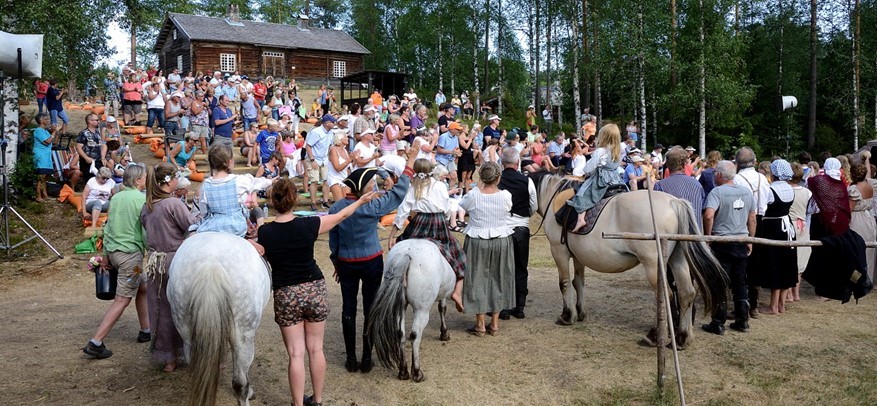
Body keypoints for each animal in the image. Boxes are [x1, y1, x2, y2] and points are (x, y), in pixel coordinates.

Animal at [366, 239, 456, 382]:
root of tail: (406, 254)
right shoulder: (443, 297)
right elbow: (442, 309)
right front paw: (444, 334)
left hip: (401, 307)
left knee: (400, 333)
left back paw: (403, 371)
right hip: (422, 310)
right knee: (416, 335)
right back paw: (417, 372)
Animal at [532, 173, 728, 348]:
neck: (553, 197)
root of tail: (674, 202)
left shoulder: (559, 251)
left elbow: (564, 283)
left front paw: (567, 316)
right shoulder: (578, 256)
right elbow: (578, 282)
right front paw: (580, 313)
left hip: (653, 265)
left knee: (666, 295)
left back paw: (654, 336)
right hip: (677, 259)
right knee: (686, 293)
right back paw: (682, 338)